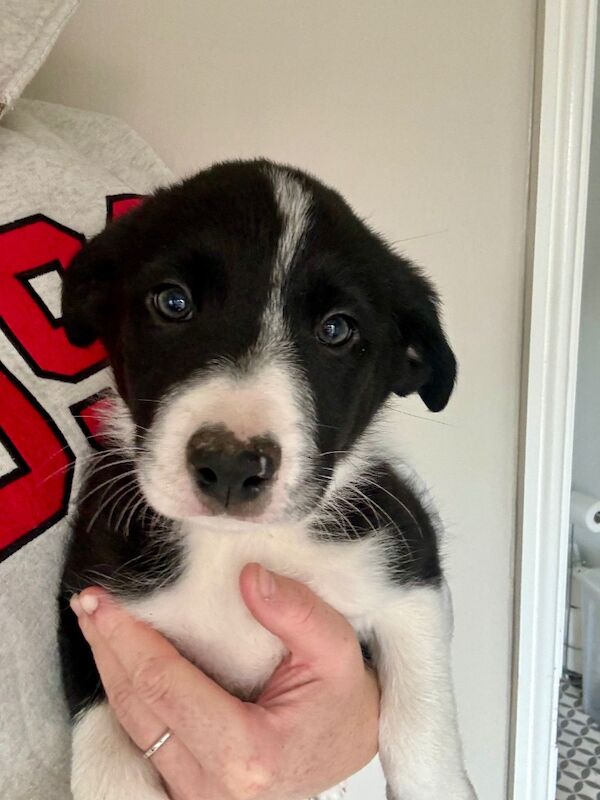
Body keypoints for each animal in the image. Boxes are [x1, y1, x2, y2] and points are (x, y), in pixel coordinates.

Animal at [58, 158, 476, 800]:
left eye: (336, 330)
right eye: (173, 301)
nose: (230, 465)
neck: (235, 548)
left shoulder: (405, 561)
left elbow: (421, 719)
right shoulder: (88, 596)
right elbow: (102, 743)